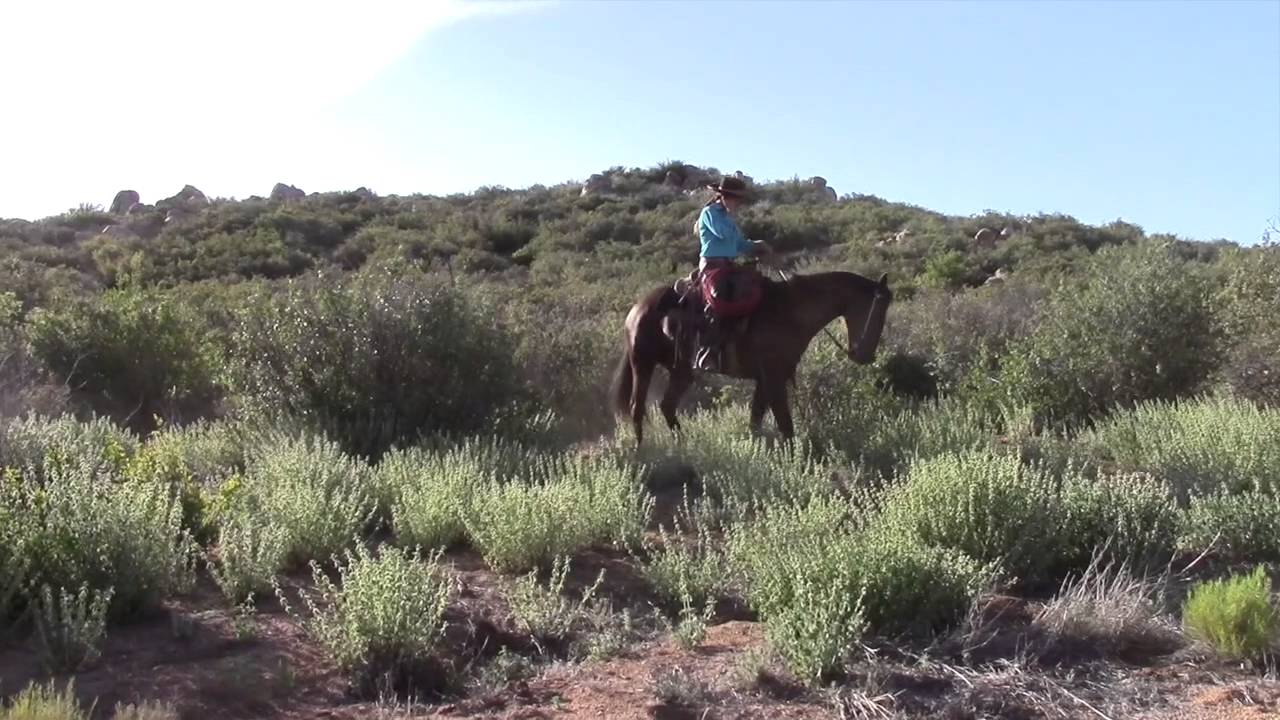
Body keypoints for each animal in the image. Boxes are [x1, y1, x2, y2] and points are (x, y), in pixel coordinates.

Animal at [611, 267, 893, 444]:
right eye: (878, 309)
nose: (864, 355)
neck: (791, 311)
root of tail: (638, 307)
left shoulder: (765, 380)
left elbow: (756, 419)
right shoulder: (774, 377)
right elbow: (785, 424)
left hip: (681, 370)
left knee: (667, 405)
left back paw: (682, 445)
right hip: (642, 363)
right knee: (637, 407)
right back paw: (642, 451)